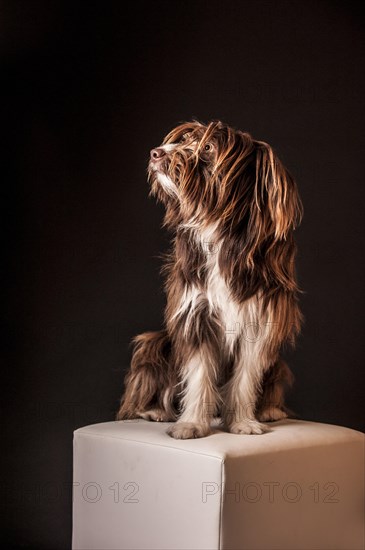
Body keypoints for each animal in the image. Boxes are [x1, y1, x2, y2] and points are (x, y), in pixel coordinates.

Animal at [116, 121, 302, 440]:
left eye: (208, 147)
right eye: (186, 139)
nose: (156, 153)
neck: (220, 232)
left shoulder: (259, 320)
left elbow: (245, 377)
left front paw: (242, 421)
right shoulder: (195, 314)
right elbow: (199, 373)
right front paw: (191, 423)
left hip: (277, 362)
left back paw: (269, 409)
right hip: (156, 342)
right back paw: (155, 410)